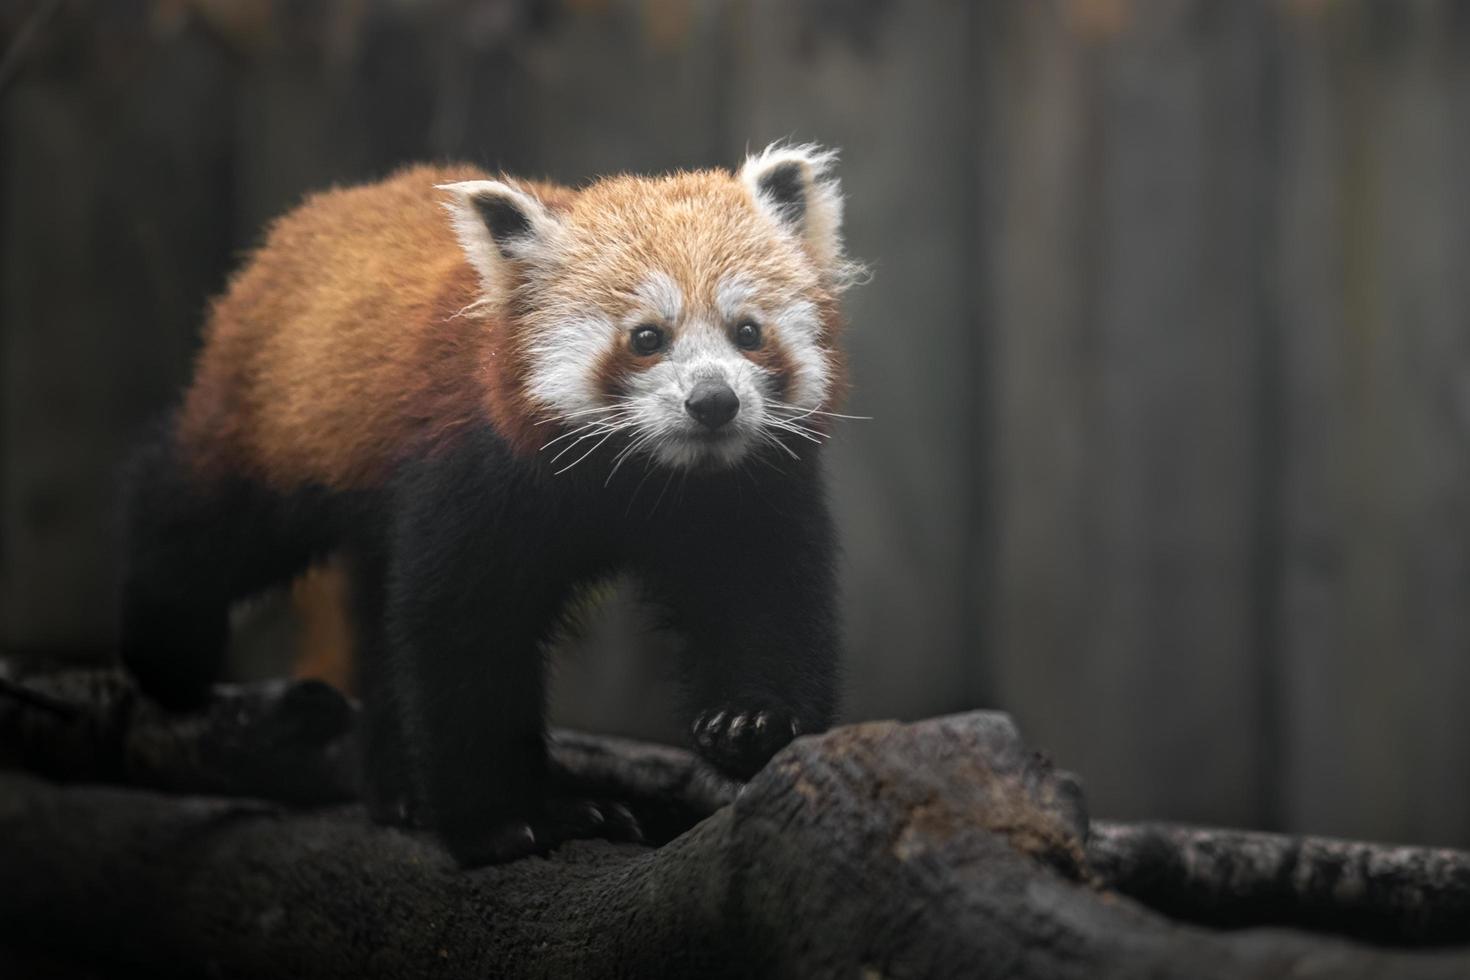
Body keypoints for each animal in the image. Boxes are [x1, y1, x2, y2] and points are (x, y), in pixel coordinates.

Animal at [126, 145, 864, 863]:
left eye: (748, 332)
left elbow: (762, 600)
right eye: (647, 338)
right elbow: (462, 636)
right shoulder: (474, 473)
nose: (714, 402)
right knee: (204, 515)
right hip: (281, 420)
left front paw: (749, 724)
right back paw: (168, 655)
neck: (641, 478)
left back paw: (398, 790)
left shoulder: (741, 495)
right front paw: (507, 821)